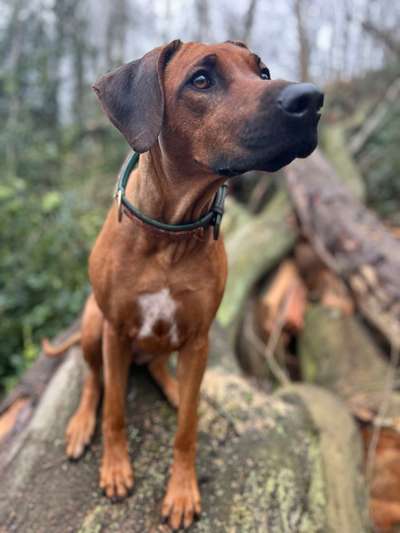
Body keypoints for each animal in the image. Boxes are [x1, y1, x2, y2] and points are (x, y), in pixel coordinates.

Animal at [43, 40, 324, 528]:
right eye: (201, 80)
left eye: (264, 73)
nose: (311, 100)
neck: (169, 235)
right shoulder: (115, 330)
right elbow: (114, 410)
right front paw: (115, 467)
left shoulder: (198, 338)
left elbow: (188, 426)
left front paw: (181, 490)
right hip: (94, 324)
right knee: (94, 380)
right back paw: (81, 422)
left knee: (161, 369)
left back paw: (174, 390)